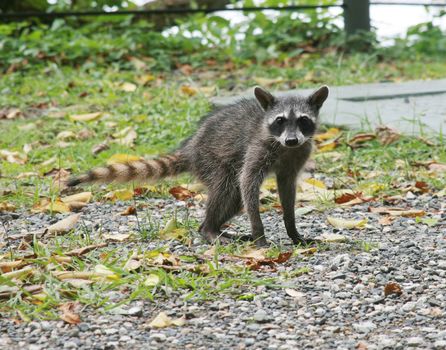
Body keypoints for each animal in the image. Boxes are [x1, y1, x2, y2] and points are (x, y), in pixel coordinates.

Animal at [68, 85, 330, 246]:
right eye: (280, 121)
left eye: (303, 120)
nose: (291, 139)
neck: (285, 147)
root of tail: (191, 147)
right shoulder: (259, 146)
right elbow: (248, 180)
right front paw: (259, 232)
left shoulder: (297, 155)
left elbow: (287, 190)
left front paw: (292, 229)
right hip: (212, 160)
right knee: (228, 188)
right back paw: (209, 229)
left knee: (234, 199)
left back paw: (213, 226)